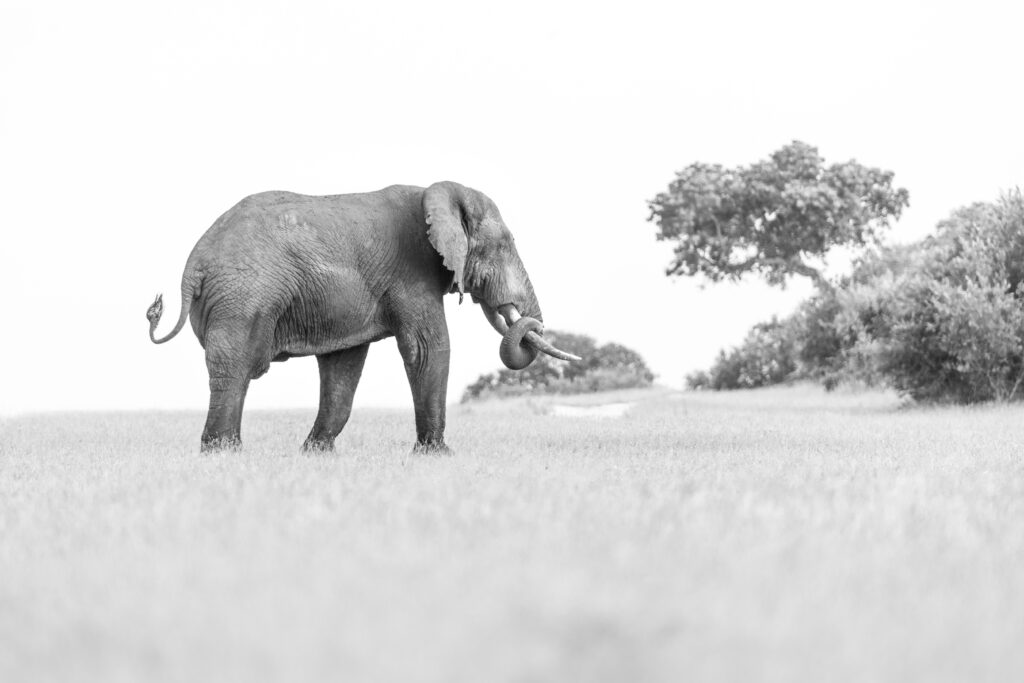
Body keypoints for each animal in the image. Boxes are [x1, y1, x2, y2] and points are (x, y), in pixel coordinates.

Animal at [146, 180, 577, 454]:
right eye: (505, 245)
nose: (529, 322)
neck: (436, 192)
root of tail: (193, 265)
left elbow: (343, 365)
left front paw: (316, 454)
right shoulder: (412, 273)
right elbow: (428, 349)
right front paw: (438, 455)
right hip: (243, 296)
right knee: (236, 367)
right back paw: (222, 453)